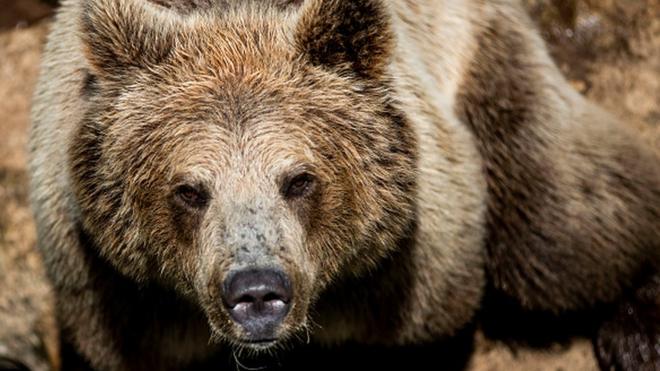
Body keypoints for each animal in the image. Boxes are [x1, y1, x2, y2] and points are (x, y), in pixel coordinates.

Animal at [28, 0, 656, 370]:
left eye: (299, 179)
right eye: (190, 190)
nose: (257, 291)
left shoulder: (406, 275)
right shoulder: (119, 303)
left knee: (556, 233)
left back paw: (636, 332)